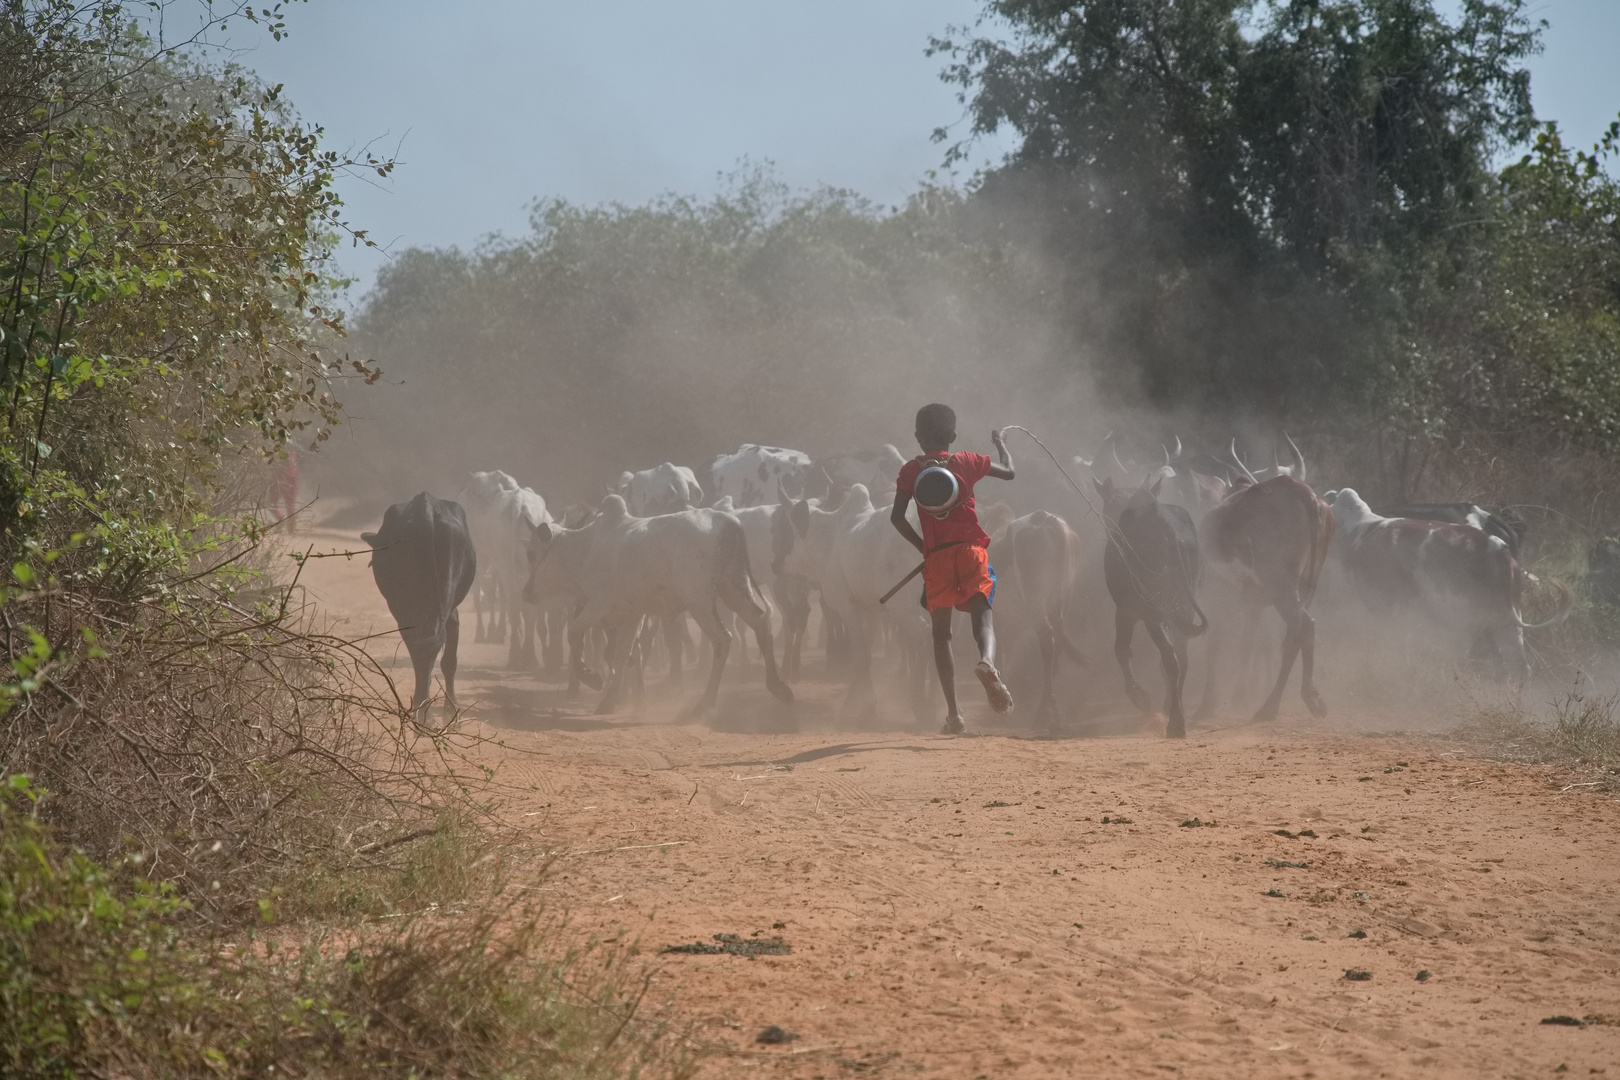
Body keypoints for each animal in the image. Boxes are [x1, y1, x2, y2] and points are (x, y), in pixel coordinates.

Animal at [361, 492, 473, 718]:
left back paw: (421, 711)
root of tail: (425, 509)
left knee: (420, 647)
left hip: (404, 606)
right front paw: (451, 709)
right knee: (429, 646)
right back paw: (425, 712)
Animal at [521, 495, 793, 718]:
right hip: (735, 588)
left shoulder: (598, 604)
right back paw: (779, 687)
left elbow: (574, 633)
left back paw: (704, 704)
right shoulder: (631, 614)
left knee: (722, 640)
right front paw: (611, 700)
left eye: (532, 554)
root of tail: (729, 522)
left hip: (700, 602)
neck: (587, 549)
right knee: (760, 622)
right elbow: (623, 654)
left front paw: (591, 677)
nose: (526, 592)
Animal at [1095, 476, 1211, 738]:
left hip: (1153, 612)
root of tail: (1166, 527)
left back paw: (1175, 723)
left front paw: (1140, 695)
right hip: (1181, 608)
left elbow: (1121, 649)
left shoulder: (1125, 610)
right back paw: (1176, 712)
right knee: (1180, 658)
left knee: (1170, 657)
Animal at [1205, 476, 1328, 722]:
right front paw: (1239, 696)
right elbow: (1247, 643)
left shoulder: (1216, 596)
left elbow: (1214, 644)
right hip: (1304, 588)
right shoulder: (1253, 604)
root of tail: (1305, 494)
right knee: (1296, 635)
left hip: (1282, 589)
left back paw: (1274, 705)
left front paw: (1207, 704)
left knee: (1303, 627)